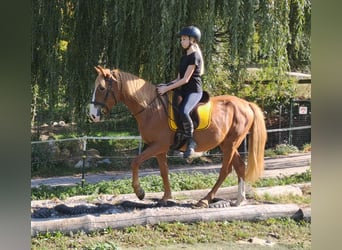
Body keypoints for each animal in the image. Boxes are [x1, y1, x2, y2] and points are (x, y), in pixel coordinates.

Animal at [89, 65, 266, 207]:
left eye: (102, 88)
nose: (93, 116)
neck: (151, 109)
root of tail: (246, 104)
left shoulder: (158, 145)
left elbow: (135, 162)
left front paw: (140, 192)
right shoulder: (159, 149)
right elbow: (164, 171)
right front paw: (165, 197)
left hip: (231, 144)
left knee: (225, 170)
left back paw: (205, 199)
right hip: (227, 144)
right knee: (239, 167)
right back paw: (239, 200)